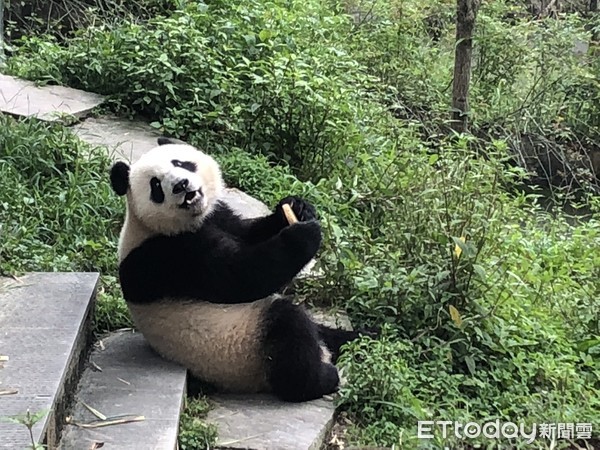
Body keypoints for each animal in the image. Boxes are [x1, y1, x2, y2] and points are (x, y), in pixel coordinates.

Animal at [109, 137, 360, 400]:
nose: (181, 185)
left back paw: (362, 338)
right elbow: (240, 276)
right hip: (243, 349)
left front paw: (295, 207)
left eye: (180, 163)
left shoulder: (216, 216)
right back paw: (321, 379)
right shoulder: (167, 257)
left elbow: (247, 233)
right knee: (289, 329)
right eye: (155, 186)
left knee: (324, 332)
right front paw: (303, 235)